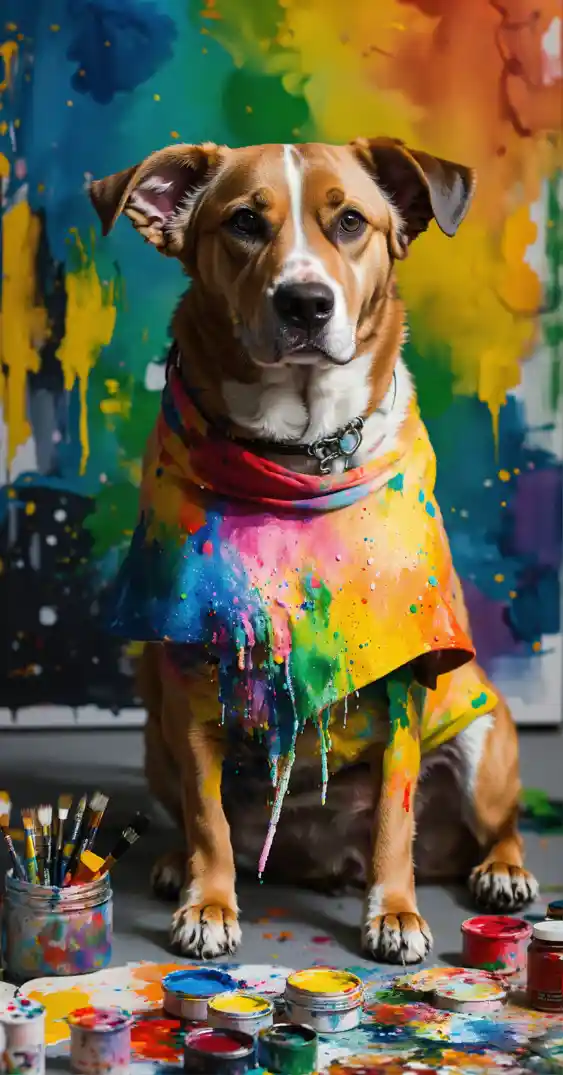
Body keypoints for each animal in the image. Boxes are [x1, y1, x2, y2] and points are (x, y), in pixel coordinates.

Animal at [90, 139, 538, 964]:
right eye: (243, 221)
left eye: (351, 221)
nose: (305, 302)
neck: (300, 456)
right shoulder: (191, 685)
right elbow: (208, 817)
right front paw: (209, 901)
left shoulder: (403, 684)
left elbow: (394, 817)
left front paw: (393, 911)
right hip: (151, 731)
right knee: (201, 816)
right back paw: (174, 863)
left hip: (485, 735)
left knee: (497, 825)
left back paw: (500, 870)